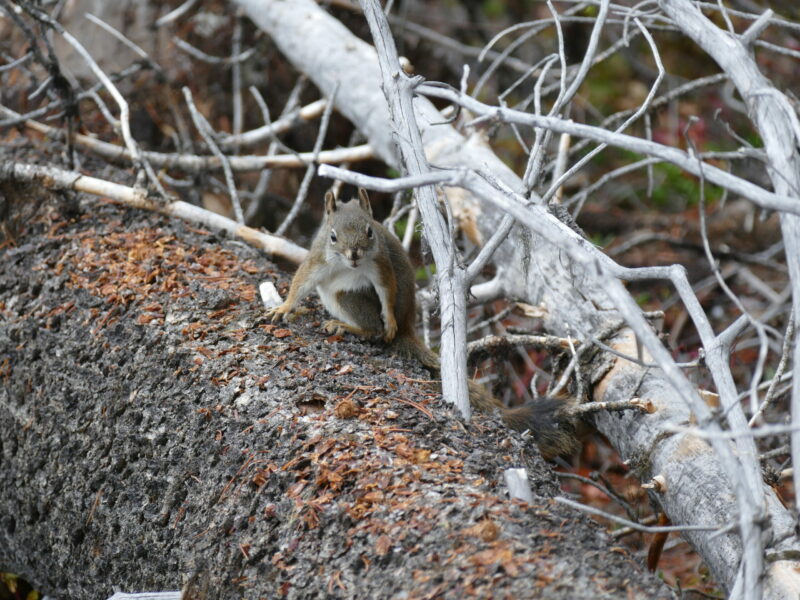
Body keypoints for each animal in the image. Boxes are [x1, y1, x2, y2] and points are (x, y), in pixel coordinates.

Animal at [268, 189, 576, 460]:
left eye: (370, 232)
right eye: (332, 236)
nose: (354, 254)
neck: (346, 265)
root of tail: (408, 329)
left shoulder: (379, 263)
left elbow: (387, 289)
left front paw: (389, 319)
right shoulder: (317, 260)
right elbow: (301, 282)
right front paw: (285, 307)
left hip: (349, 297)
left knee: (374, 330)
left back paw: (352, 327)